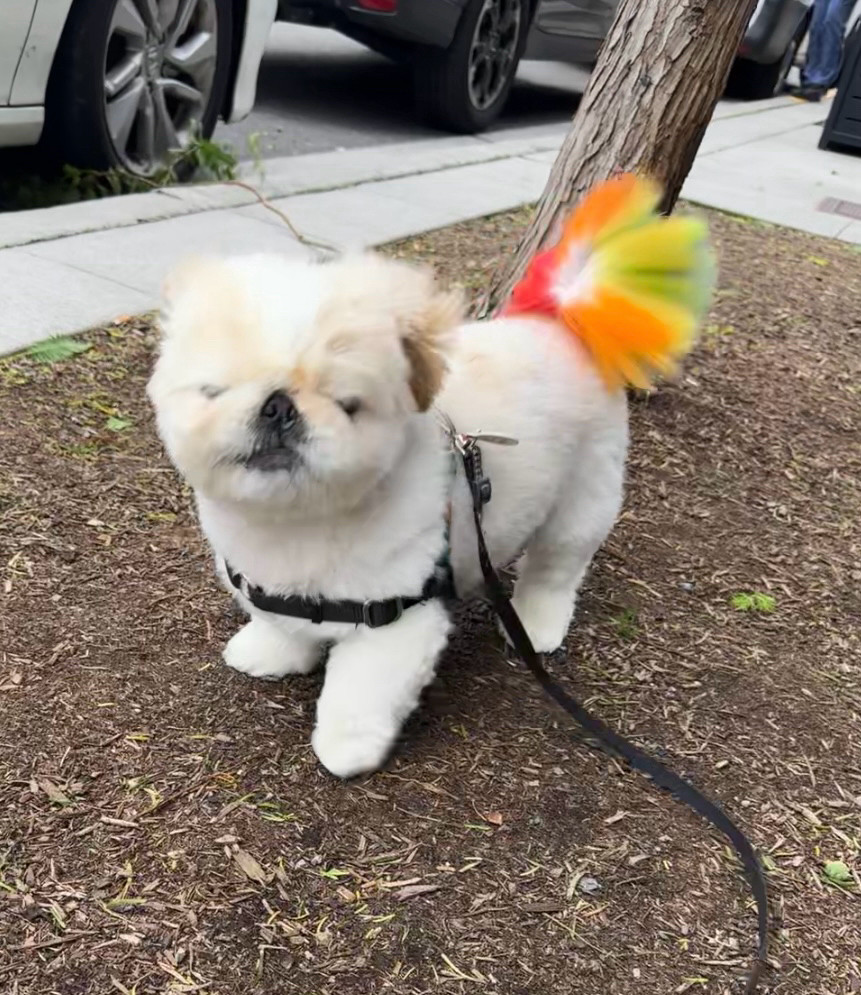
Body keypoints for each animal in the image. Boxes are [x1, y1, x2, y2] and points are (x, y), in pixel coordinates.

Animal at [148, 249, 624, 780]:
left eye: (347, 404)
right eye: (214, 391)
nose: (278, 406)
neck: (299, 523)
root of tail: (562, 330)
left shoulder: (395, 622)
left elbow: (361, 695)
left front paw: (346, 748)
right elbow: (281, 624)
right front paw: (268, 653)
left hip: (582, 500)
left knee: (555, 570)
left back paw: (536, 626)